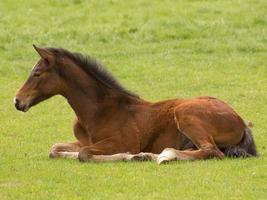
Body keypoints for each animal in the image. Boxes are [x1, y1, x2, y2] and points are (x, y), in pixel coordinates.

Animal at [13, 45, 258, 164]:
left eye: (36, 73)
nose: (17, 101)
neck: (99, 110)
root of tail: (241, 121)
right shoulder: (84, 140)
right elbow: (56, 149)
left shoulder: (123, 141)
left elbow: (85, 154)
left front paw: (132, 156)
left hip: (185, 111)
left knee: (212, 151)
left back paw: (162, 156)